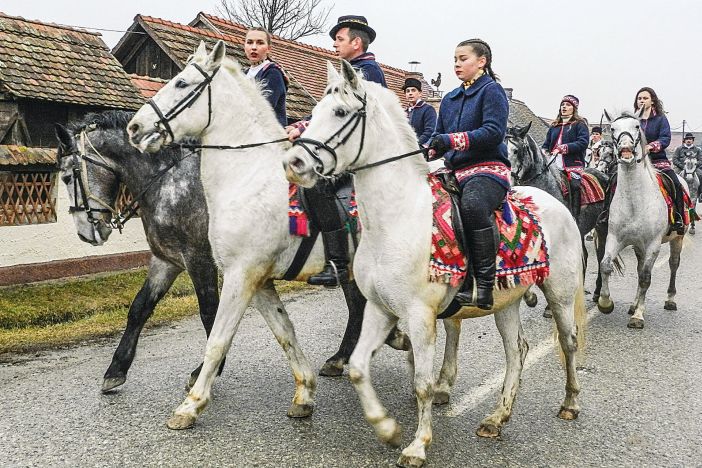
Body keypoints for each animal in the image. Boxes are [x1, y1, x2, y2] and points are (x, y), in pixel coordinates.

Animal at [56, 111, 396, 394]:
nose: (86, 233)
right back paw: (340, 359)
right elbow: (140, 308)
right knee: (356, 306)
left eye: (66, 176)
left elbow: (209, 311)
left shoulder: (200, 260)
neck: (174, 183)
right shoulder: (166, 260)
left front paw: (206, 370)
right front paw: (116, 370)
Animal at [286, 60, 588, 468]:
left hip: (559, 292)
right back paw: (496, 418)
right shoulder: (380, 308)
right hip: (506, 300)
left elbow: (423, 384)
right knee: (517, 352)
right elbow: (359, 369)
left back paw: (570, 402)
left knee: (568, 342)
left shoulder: (419, 316)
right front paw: (386, 427)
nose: (294, 162)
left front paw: (417, 445)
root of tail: (554, 201)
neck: (397, 218)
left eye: (340, 113)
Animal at [596, 111, 692, 328]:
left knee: (673, 264)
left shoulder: (653, 244)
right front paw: (605, 303)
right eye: (613, 128)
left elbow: (646, 277)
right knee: (639, 268)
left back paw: (670, 299)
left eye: (636, 126)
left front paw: (638, 316)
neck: (635, 201)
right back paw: (633, 304)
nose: (625, 150)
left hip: (677, 238)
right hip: (638, 245)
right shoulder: (615, 238)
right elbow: (606, 266)